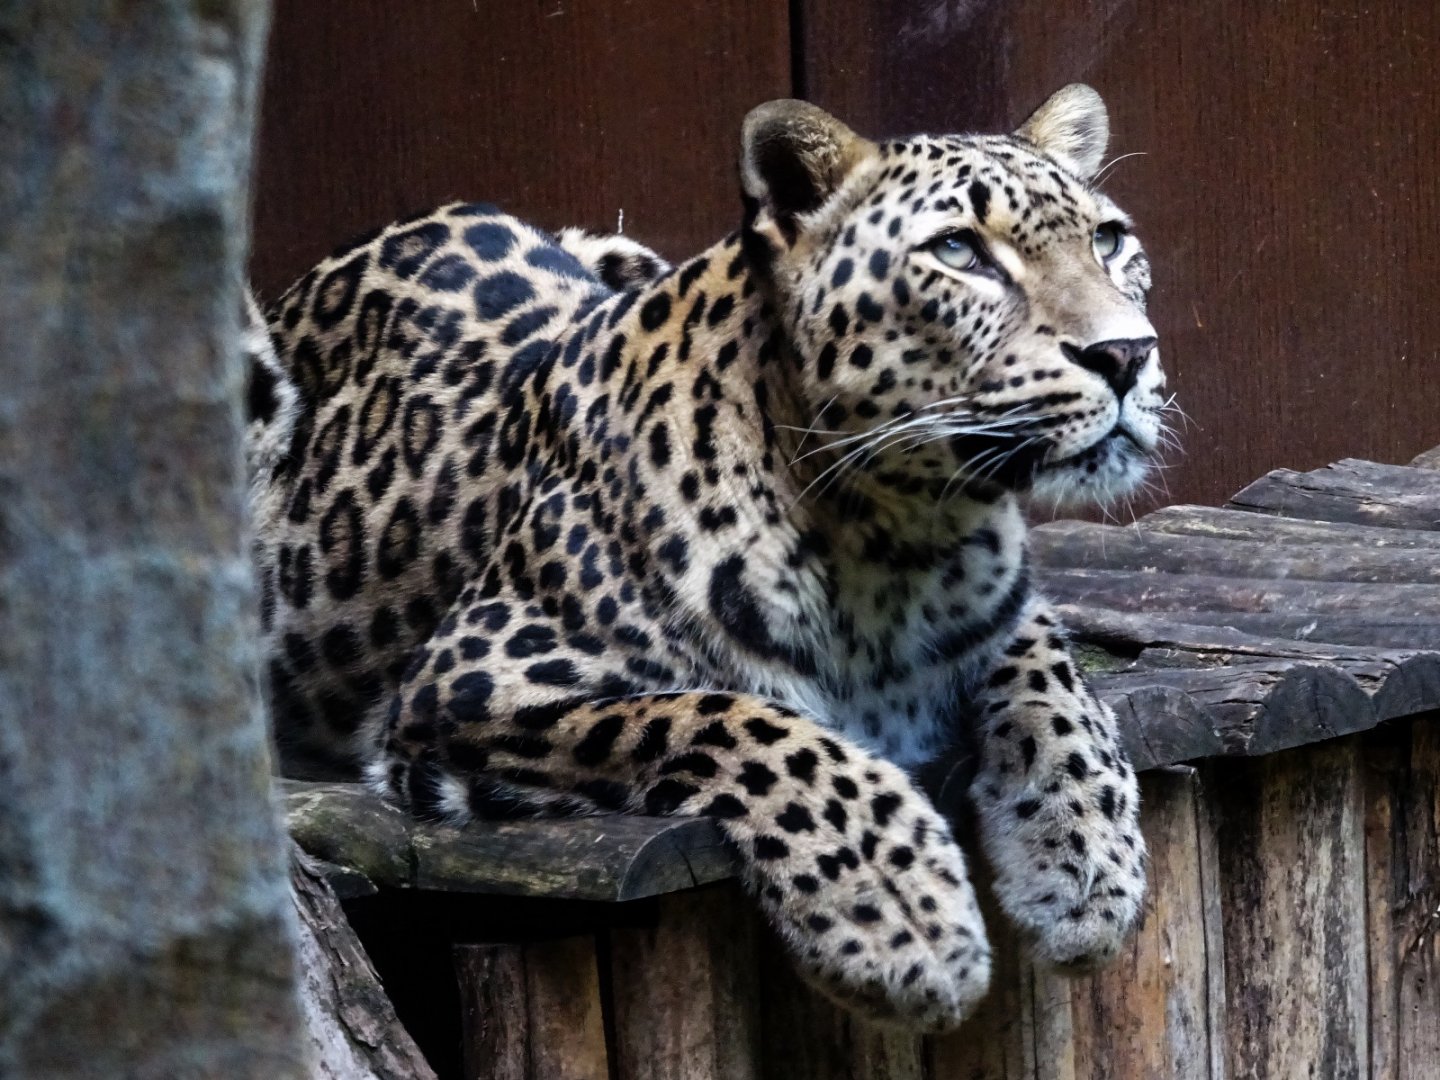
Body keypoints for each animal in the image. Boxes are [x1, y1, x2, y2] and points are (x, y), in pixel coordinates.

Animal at [248, 84, 1164, 1032]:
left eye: (1108, 239)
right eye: (959, 251)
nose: (1128, 354)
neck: (899, 537)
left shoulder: (1011, 614)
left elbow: (1059, 685)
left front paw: (1086, 867)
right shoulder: (465, 685)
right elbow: (735, 719)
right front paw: (901, 917)